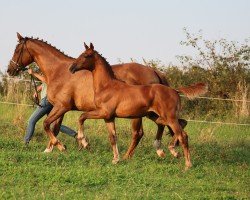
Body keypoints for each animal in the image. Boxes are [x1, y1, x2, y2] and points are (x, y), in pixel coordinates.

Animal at [6, 33, 186, 158]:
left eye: (17, 50)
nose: (10, 70)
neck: (59, 71)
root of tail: (154, 71)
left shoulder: (62, 106)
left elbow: (46, 125)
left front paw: (61, 146)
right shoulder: (61, 108)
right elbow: (55, 127)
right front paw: (53, 148)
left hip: (137, 115)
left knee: (139, 133)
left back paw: (129, 156)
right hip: (150, 113)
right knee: (168, 125)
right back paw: (164, 150)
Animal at [69, 43, 208, 170]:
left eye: (86, 55)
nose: (72, 68)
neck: (107, 86)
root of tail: (175, 90)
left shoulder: (104, 112)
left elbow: (82, 116)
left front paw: (83, 141)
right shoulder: (109, 117)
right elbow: (112, 137)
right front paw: (115, 159)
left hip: (169, 117)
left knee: (182, 135)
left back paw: (187, 164)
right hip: (157, 116)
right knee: (180, 124)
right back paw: (172, 150)